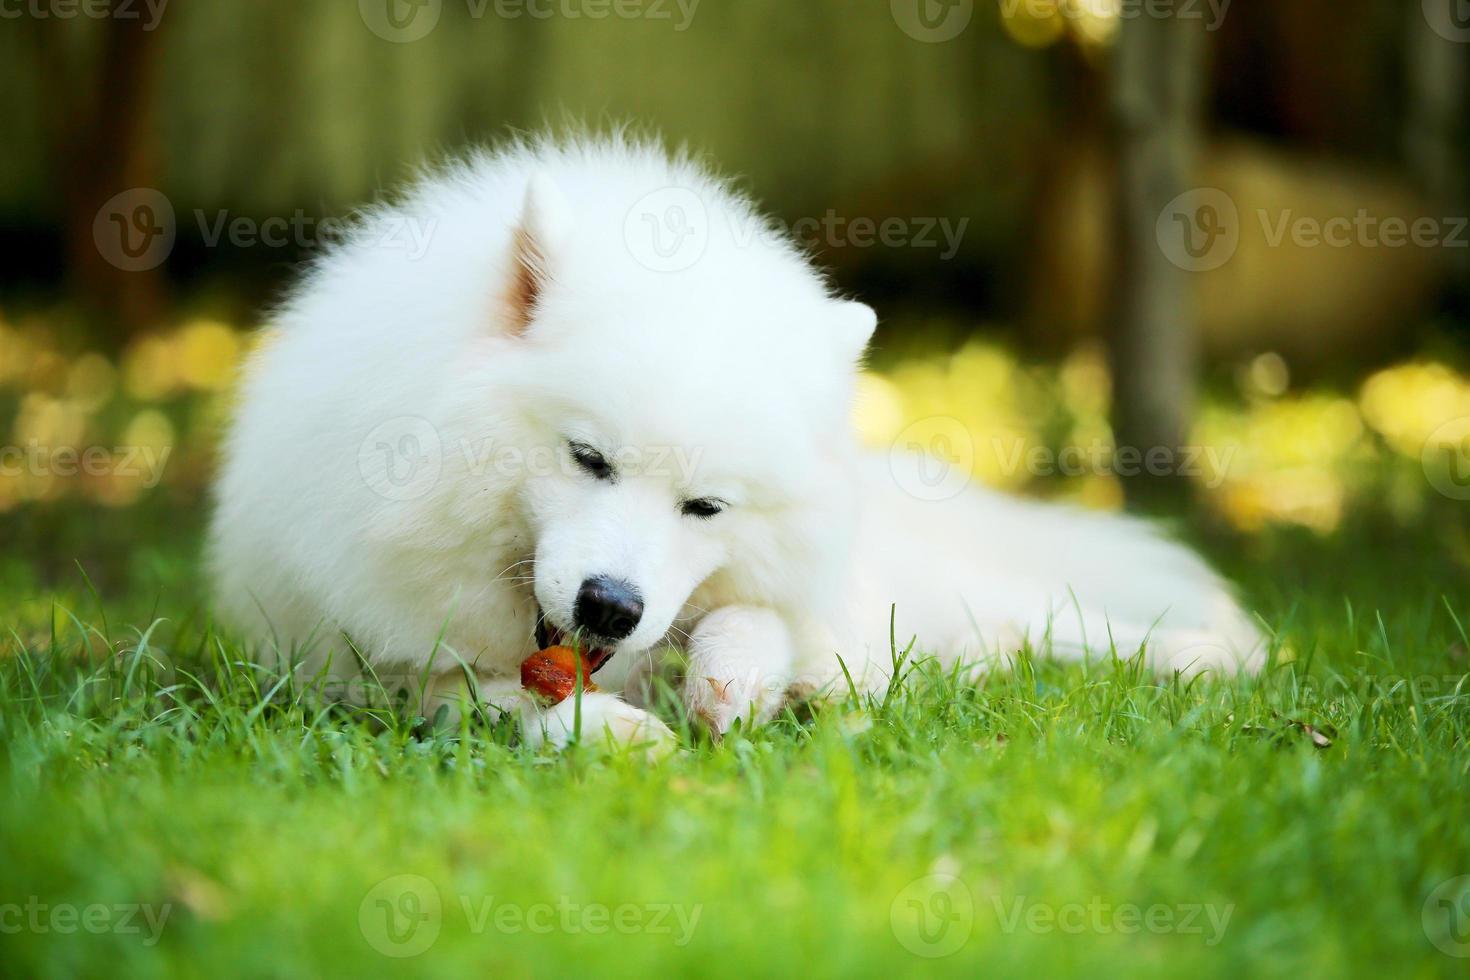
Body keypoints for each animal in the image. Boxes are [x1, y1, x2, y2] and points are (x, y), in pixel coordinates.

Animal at [210, 135, 1264, 752]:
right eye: (588, 459)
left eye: (705, 507)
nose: (611, 604)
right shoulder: (372, 676)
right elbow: (495, 701)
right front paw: (614, 732)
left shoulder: (798, 596)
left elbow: (757, 617)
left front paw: (732, 681)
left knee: (1052, 619)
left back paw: (1215, 654)